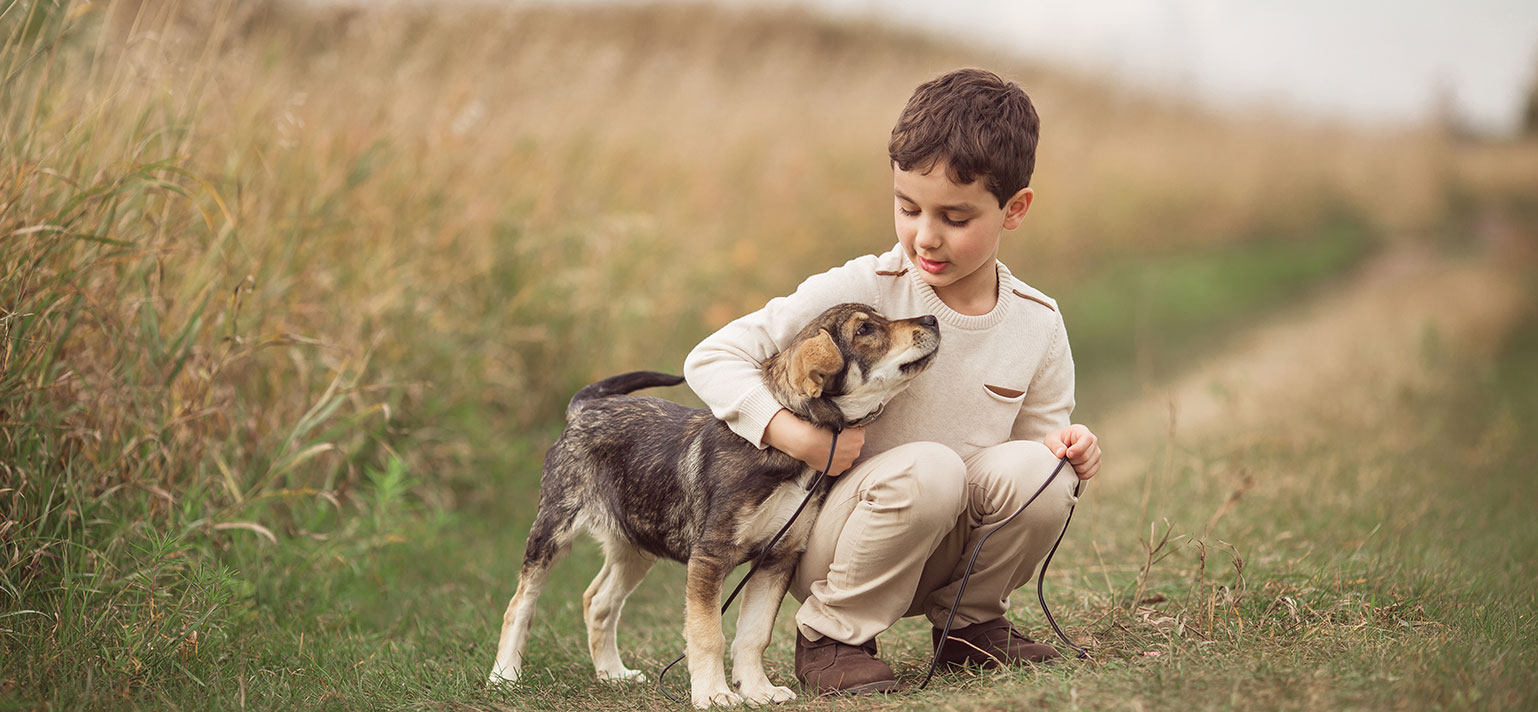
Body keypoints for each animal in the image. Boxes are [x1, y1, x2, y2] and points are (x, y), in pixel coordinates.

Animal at [492, 304, 941, 707]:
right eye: (865, 329)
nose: (932, 319)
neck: (789, 451)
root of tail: (586, 407)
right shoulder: (709, 557)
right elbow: (708, 635)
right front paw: (712, 693)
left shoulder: (777, 556)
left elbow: (753, 634)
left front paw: (757, 690)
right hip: (553, 529)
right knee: (521, 603)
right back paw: (505, 676)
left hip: (636, 544)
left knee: (598, 601)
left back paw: (613, 674)